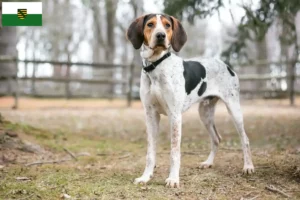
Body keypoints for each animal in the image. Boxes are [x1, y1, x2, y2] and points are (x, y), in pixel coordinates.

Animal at [126, 13, 255, 188]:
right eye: (150, 24)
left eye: (167, 25)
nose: (161, 36)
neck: (157, 65)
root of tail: (225, 65)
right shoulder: (151, 115)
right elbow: (150, 152)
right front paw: (145, 177)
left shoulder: (175, 115)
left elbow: (174, 151)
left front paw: (173, 179)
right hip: (205, 113)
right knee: (216, 138)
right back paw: (208, 163)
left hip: (234, 110)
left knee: (245, 139)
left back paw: (248, 166)